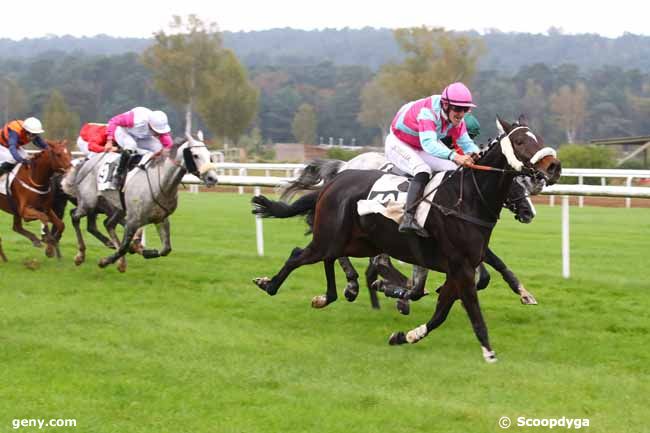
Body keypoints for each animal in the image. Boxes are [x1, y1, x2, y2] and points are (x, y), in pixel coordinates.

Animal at [61, 135, 218, 270]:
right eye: (195, 155)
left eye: (209, 155)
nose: (212, 178)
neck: (160, 183)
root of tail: (85, 163)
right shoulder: (133, 219)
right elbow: (124, 247)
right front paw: (105, 261)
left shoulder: (160, 218)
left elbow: (166, 249)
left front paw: (144, 251)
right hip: (89, 203)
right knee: (75, 217)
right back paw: (81, 255)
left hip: (116, 208)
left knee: (108, 224)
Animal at [251, 115, 560, 362]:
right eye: (519, 141)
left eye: (538, 137)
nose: (554, 167)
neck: (466, 198)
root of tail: (336, 178)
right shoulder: (459, 265)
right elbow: (468, 305)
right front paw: (488, 351)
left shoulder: (460, 265)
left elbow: (442, 309)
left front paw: (406, 335)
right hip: (333, 237)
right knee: (299, 255)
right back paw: (271, 284)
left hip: (356, 241)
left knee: (332, 258)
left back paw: (333, 294)